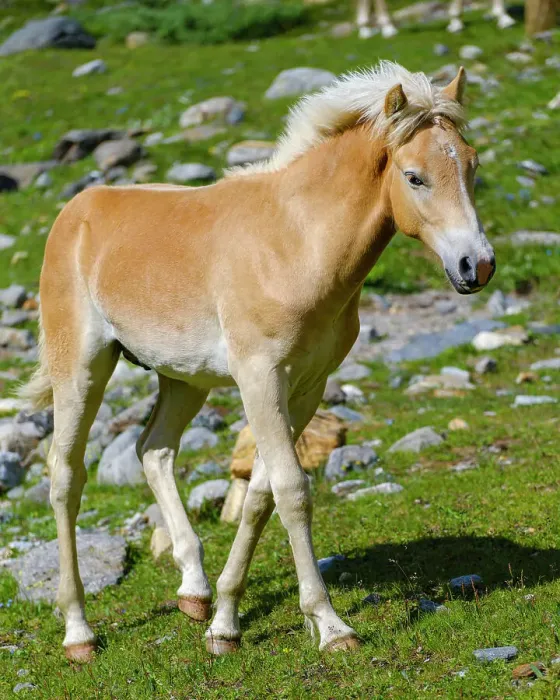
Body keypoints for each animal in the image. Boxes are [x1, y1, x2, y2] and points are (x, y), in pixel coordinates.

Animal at [19, 61, 495, 662]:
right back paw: (78, 631)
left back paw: (194, 592)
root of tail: (75, 212)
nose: (477, 266)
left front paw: (224, 622)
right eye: (414, 177)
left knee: (154, 451)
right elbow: (292, 491)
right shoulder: (260, 378)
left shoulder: (307, 386)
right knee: (65, 475)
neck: (295, 243)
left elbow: (262, 495)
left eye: (472, 165)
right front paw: (331, 626)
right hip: (82, 369)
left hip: (184, 378)